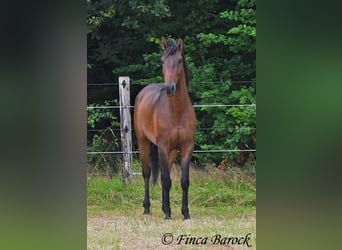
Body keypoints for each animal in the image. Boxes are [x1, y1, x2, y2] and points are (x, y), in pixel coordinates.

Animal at [134, 37, 198, 219]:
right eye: (163, 61)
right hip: (143, 142)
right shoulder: (162, 146)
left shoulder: (186, 147)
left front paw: (185, 213)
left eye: (179, 61)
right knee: (147, 173)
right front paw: (168, 213)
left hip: (172, 151)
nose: (169, 88)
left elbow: (183, 181)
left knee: (163, 175)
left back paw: (163, 207)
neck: (177, 111)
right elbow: (167, 180)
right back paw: (147, 208)